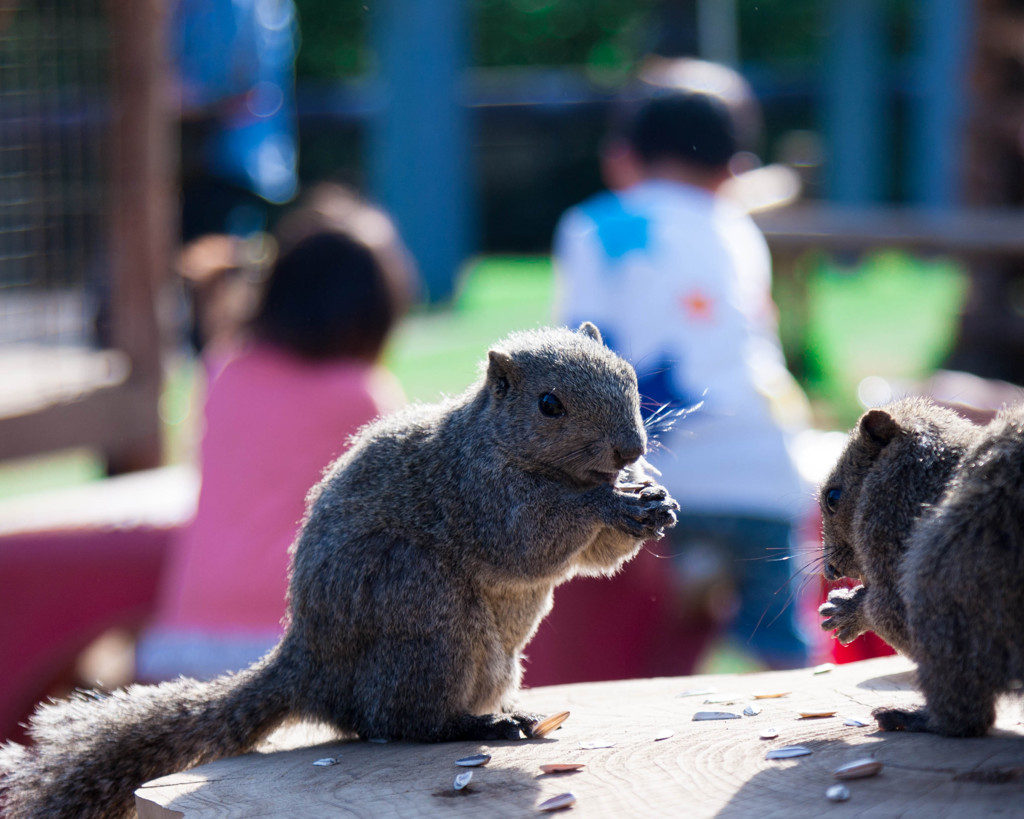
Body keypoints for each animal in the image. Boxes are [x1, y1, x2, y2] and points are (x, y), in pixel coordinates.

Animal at [0, 323, 679, 818]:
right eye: (548, 404)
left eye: (627, 375)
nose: (631, 448)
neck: (495, 440)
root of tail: (310, 667)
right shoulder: (475, 491)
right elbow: (527, 539)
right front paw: (609, 501)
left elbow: (595, 557)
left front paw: (652, 498)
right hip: (419, 603)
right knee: (398, 719)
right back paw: (479, 723)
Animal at [815, 397, 1024, 737]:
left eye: (833, 497)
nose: (829, 572)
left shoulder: (890, 507)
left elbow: (891, 609)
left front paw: (848, 609)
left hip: (942, 584)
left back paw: (918, 718)